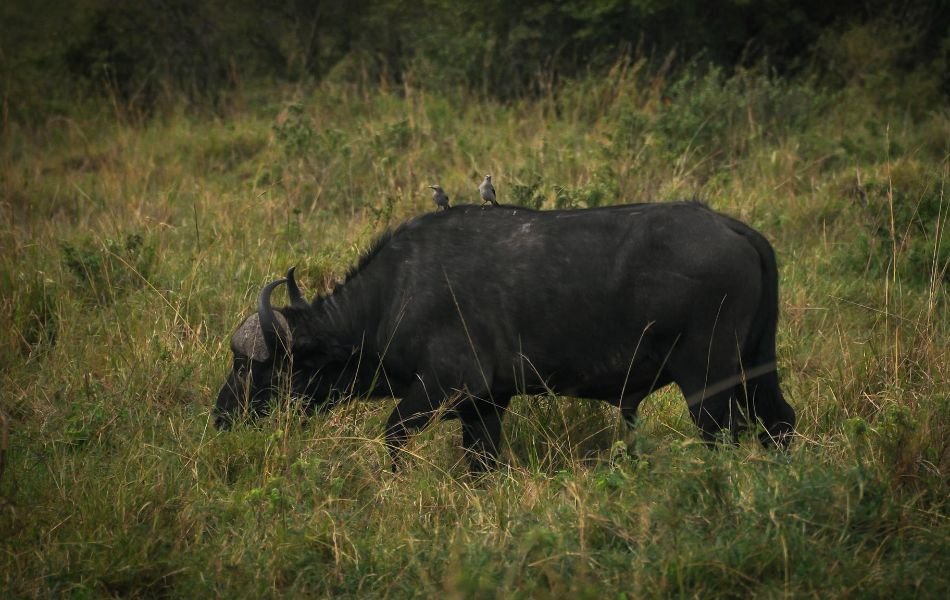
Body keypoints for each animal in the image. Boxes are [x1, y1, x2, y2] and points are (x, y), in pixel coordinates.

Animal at [213, 202, 795, 471]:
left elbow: (393, 434)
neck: (396, 294)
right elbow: (483, 464)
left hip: (708, 382)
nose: (220, 415)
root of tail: (733, 228)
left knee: (725, 435)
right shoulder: (486, 405)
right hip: (756, 368)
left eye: (250, 366)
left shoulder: (443, 389)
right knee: (779, 422)